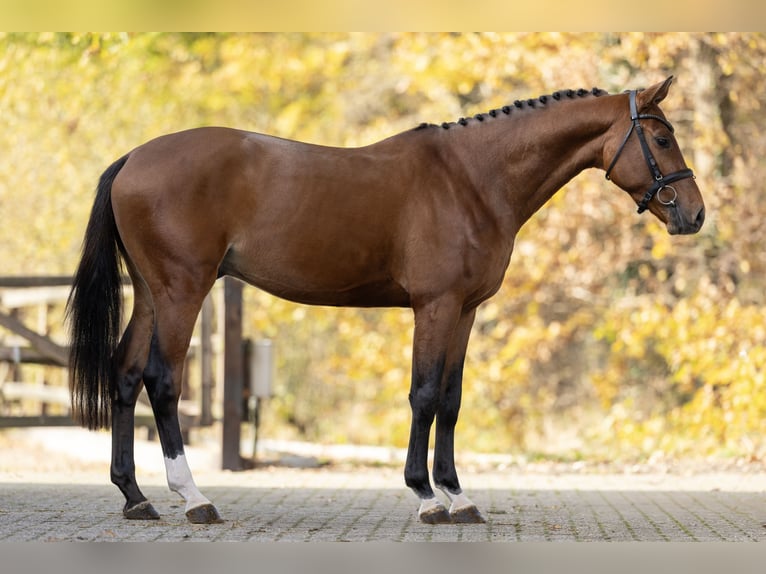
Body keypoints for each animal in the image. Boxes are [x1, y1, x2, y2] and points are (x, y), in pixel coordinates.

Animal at [67, 76, 708, 528]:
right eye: (661, 137)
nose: (695, 215)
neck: (473, 178)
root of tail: (133, 159)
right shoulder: (435, 306)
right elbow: (423, 394)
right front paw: (426, 497)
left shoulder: (466, 311)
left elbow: (450, 400)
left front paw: (458, 496)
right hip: (183, 291)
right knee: (161, 380)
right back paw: (194, 498)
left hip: (152, 294)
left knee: (125, 375)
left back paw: (135, 497)